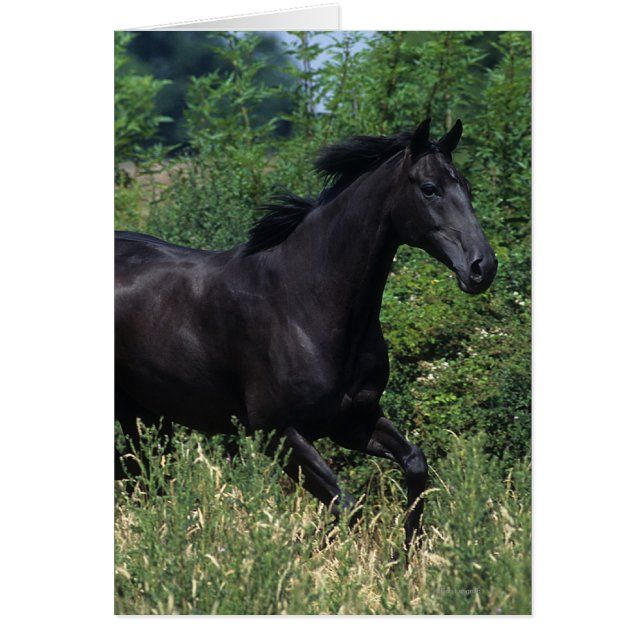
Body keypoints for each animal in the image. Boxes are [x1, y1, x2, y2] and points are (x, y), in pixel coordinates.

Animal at [115, 118, 497, 550]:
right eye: (429, 188)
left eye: (466, 186)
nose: (482, 267)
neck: (302, 300)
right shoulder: (277, 433)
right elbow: (346, 506)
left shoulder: (353, 419)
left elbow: (414, 465)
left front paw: (404, 558)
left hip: (149, 413)